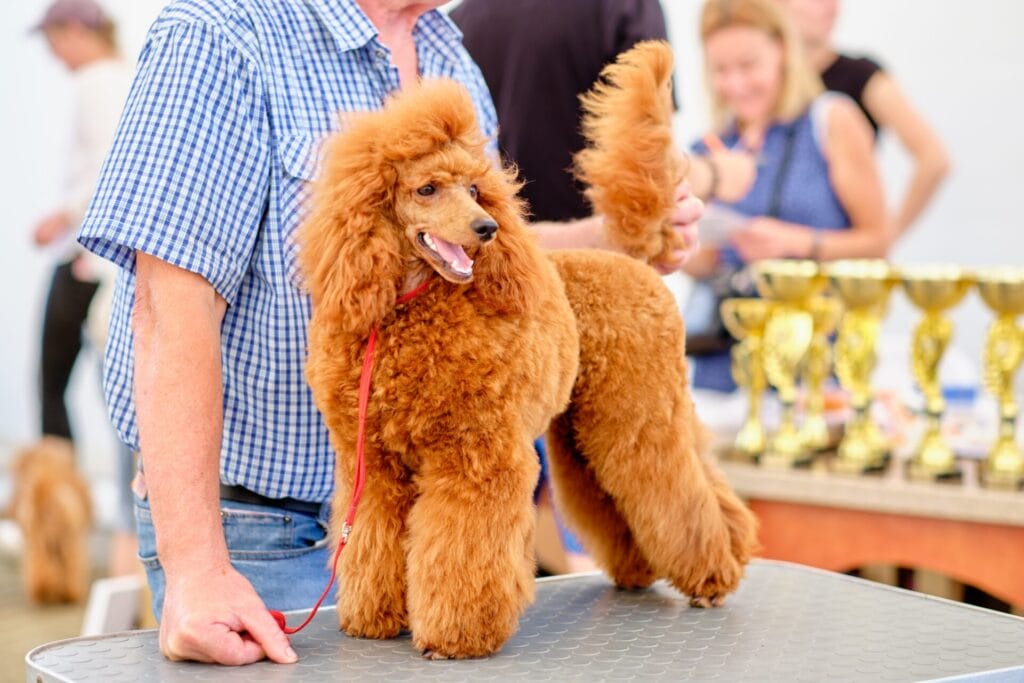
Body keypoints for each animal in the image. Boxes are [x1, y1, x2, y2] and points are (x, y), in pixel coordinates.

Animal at [9, 438, 92, 602]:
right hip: (63, 542)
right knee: (66, 569)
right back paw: (67, 594)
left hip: (42, 544)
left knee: (42, 570)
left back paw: (46, 592)